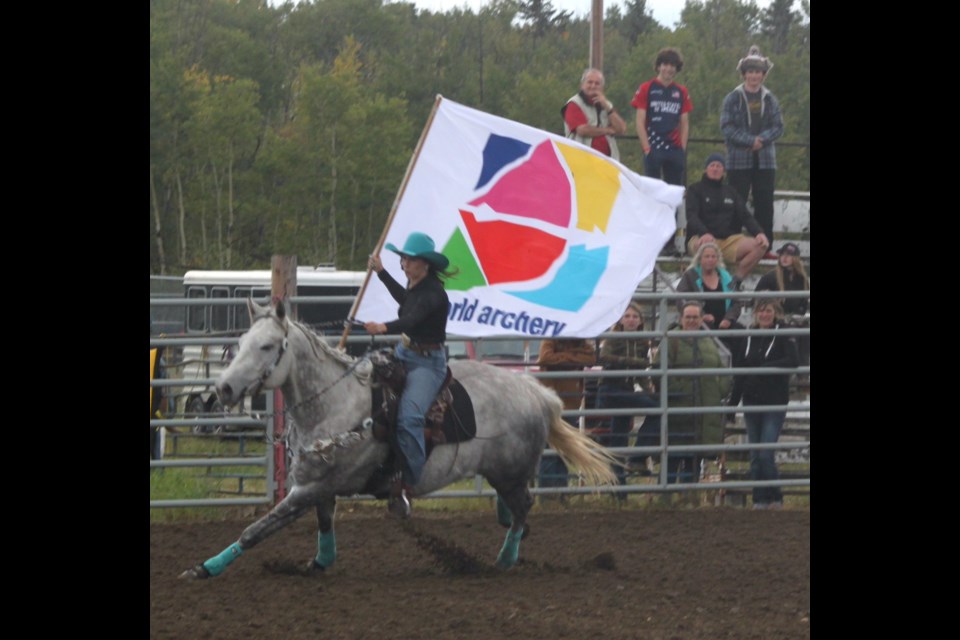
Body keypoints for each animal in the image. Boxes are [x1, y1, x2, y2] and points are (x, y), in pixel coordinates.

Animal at [179, 298, 616, 576]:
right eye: (241, 343)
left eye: (267, 345)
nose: (224, 389)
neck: (337, 403)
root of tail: (539, 394)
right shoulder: (318, 486)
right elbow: (324, 523)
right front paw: (319, 563)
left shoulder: (310, 488)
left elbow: (257, 530)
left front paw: (204, 568)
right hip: (502, 473)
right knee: (514, 510)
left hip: (510, 472)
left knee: (523, 506)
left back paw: (506, 560)